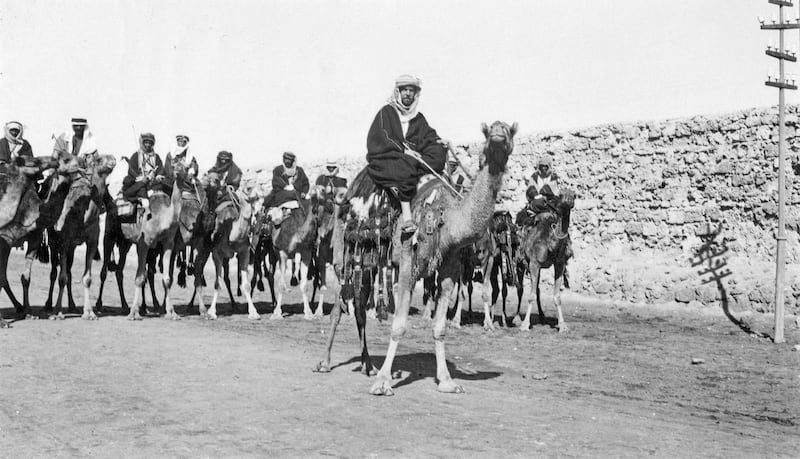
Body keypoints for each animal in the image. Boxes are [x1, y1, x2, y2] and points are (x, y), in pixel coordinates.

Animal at [520, 189, 576, 332]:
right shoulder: (534, 263)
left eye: (575, 195)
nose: (569, 199)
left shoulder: (560, 264)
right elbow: (531, 296)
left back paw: (542, 317)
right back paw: (517, 318)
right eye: (561, 194)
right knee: (520, 288)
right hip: (521, 263)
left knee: (537, 288)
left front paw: (562, 326)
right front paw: (525, 325)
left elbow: (557, 297)